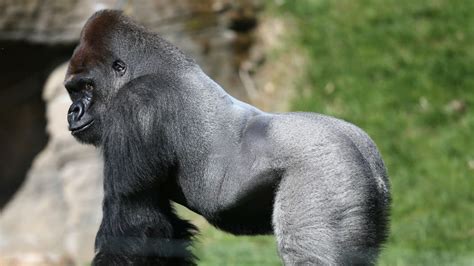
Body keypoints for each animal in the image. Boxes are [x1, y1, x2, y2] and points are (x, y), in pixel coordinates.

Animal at [65, 9, 390, 266]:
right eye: (72, 90)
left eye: (87, 87)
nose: (72, 112)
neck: (148, 69)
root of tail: (364, 152)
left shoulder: (135, 108)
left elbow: (134, 225)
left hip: (327, 175)